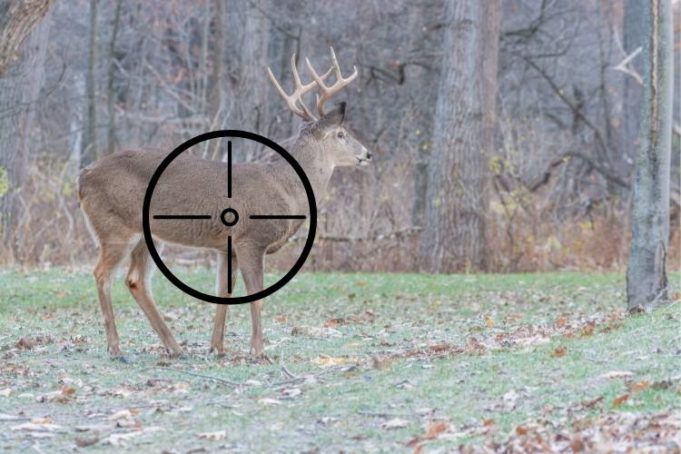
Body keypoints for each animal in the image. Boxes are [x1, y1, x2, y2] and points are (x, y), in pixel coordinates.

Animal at [78, 48, 370, 361]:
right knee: (102, 274)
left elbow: (223, 293)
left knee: (135, 280)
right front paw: (258, 351)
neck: (286, 186)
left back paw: (175, 347)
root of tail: (83, 177)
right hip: (115, 226)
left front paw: (216, 347)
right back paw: (116, 347)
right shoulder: (251, 239)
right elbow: (257, 296)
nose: (367, 153)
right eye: (341, 134)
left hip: (145, 235)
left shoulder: (225, 248)